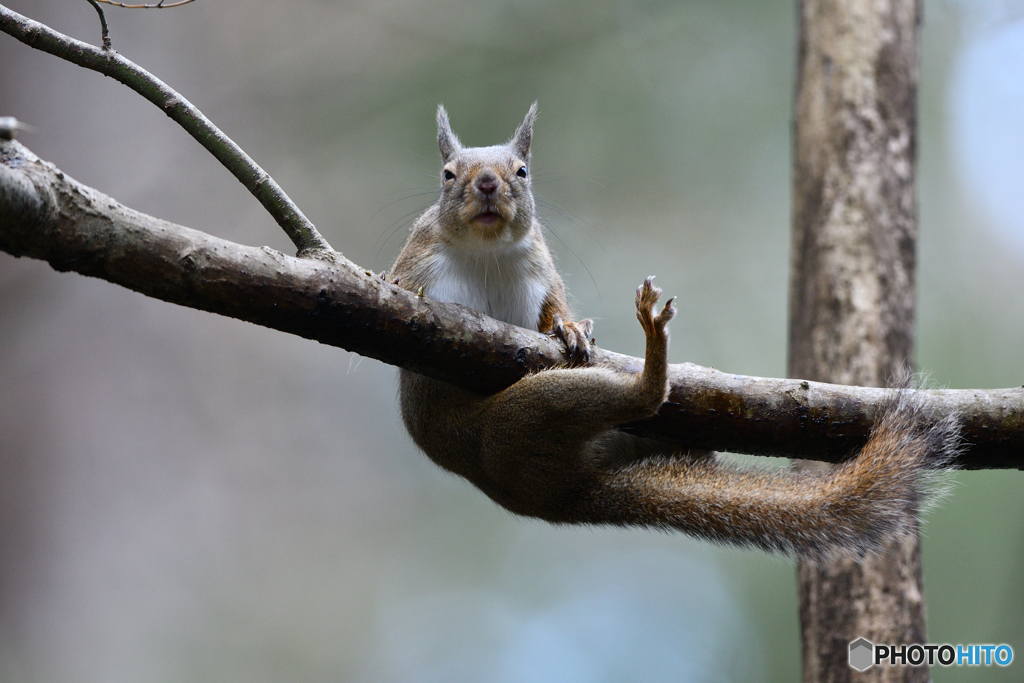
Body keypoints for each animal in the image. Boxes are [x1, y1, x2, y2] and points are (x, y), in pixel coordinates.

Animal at [387, 101, 954, 561]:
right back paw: (652, 361)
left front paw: (571, 327)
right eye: (447, 174)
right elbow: (401, 288)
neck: (486, 252)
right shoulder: (417, 259)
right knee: (631, 400)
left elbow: (553, 309)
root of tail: (565, 497)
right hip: (517, 426)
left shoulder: (540, 272)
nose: (487, 183)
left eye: (523, 172)